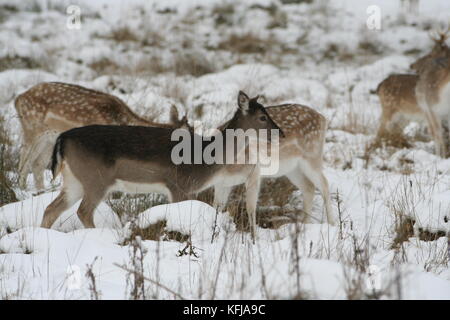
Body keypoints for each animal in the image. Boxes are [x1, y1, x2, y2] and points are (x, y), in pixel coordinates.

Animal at [40, 91, 284, 241]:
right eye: (262, 117)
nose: (280, 132)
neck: (205, 161)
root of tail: (62, 139)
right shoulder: (179, 186)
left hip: (74, 180)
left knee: (51, 208)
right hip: (96, 179)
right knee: (83, 211)